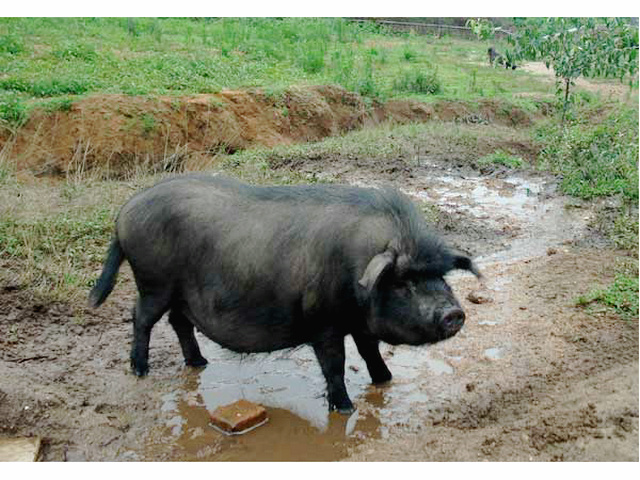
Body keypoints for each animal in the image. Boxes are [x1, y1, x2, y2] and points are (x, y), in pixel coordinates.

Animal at [90, 174, 480, 414]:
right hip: (154, 281)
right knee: (141, 317)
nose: (454, 313)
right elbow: (334, 364)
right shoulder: (323, 322)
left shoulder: (359, 322)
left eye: (440, 276)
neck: (355, 269)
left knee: (179, 322)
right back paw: (140, 370)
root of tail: (124, 213)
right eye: (402, 282)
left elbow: (370, 351)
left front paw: (386, 381)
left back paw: (199, 363)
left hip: (179, 294)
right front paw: (346, 408)